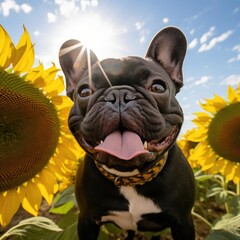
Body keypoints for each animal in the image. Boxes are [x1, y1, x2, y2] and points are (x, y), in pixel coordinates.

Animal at [58, 26, 195, 240]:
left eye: (158, 87)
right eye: (84, 92)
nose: (119, 94)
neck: (129, 178)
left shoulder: (183, 222)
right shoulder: (87, 220)